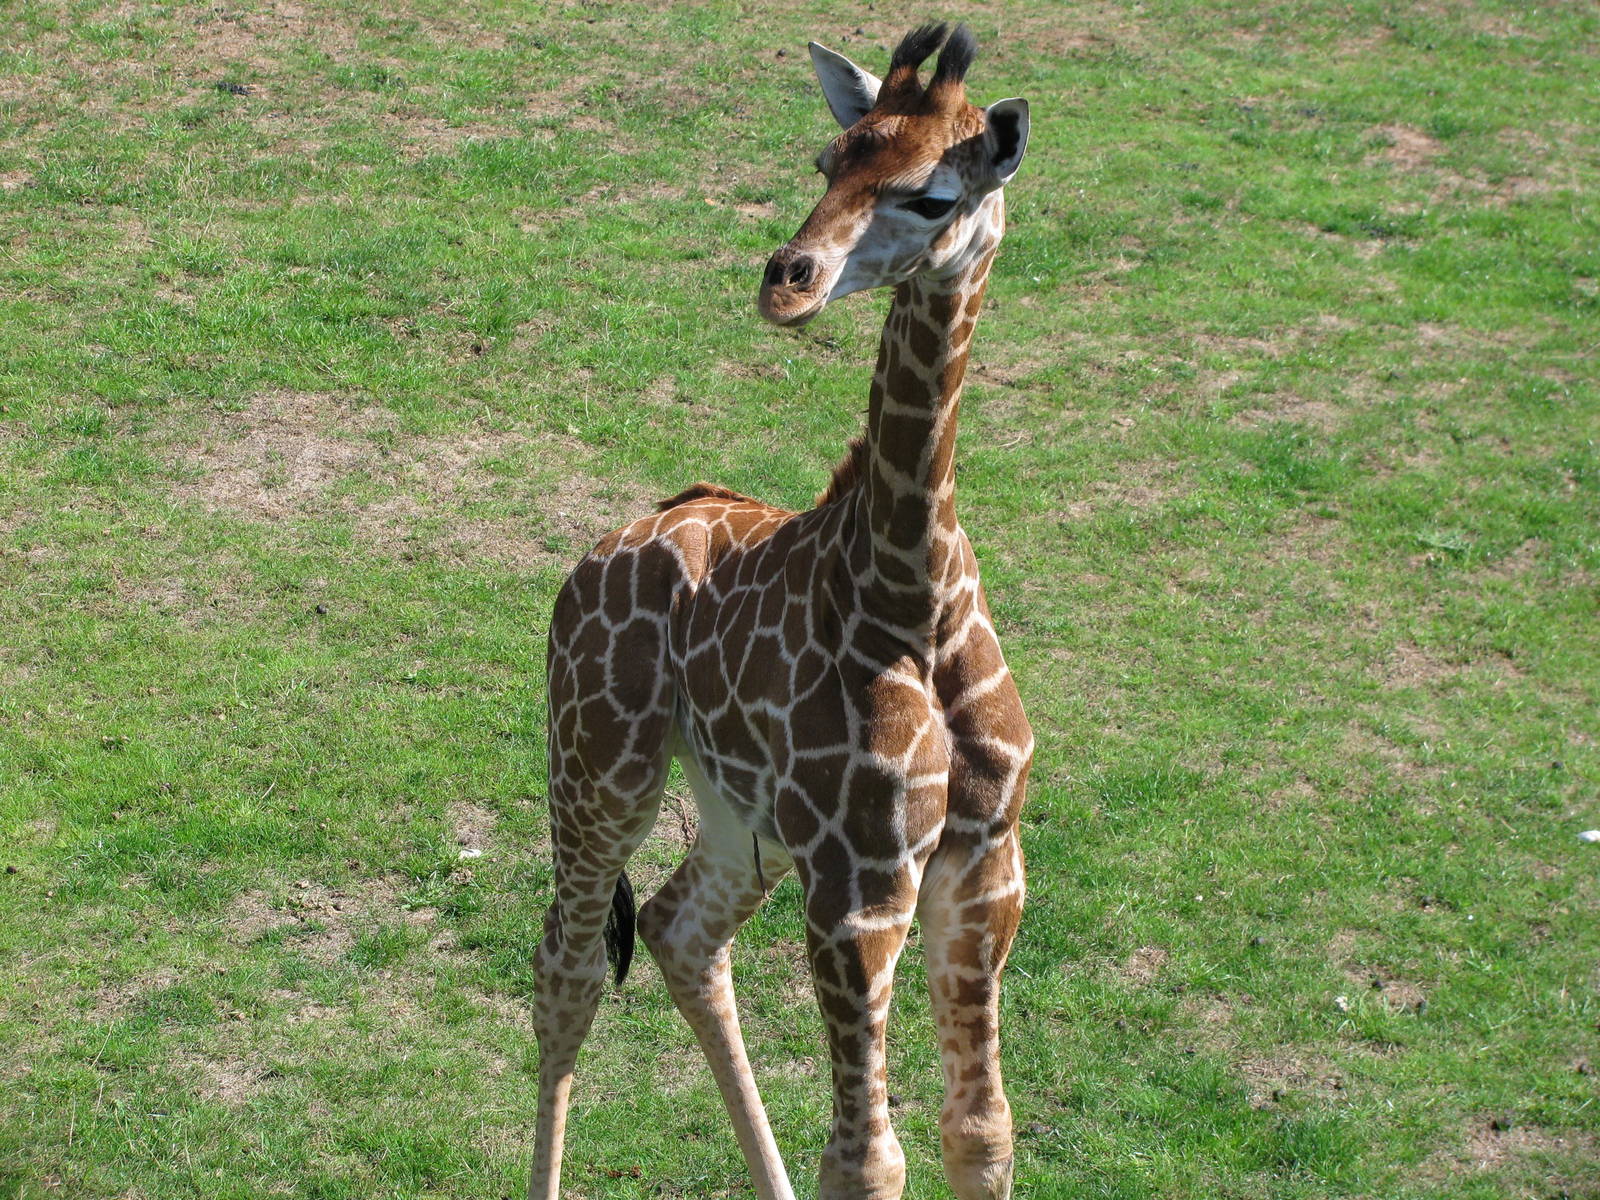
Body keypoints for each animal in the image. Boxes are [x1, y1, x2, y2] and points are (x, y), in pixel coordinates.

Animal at [529, 22, 1033, 1200]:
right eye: (828, 159)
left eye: (933, 195)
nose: (786, 280)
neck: (912, 592)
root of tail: (615, 538)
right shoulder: (859, 888)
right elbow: (869, 1159)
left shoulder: (986, 864)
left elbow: (978, 1130)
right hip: (599, 764)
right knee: (566, 967)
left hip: (737, 814)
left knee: (678, 931)